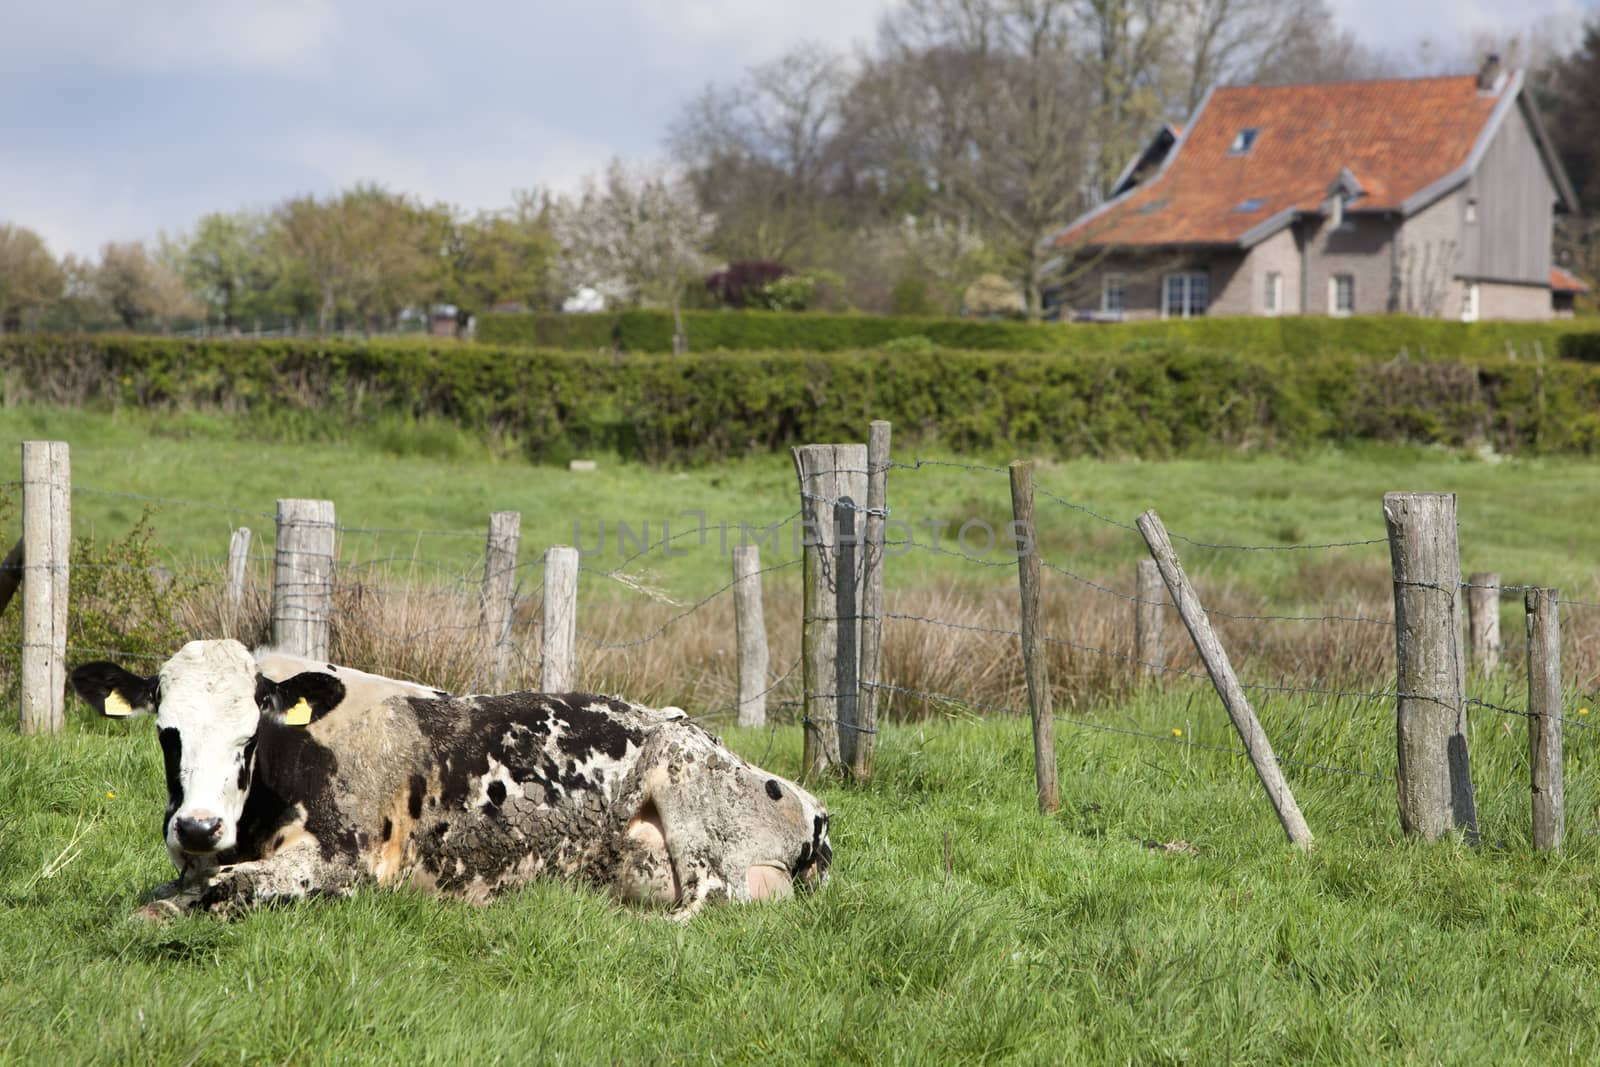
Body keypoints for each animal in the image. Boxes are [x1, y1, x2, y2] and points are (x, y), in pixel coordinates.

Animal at [68, 639, 832, 921]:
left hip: (686, 795)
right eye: (167, 731)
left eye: (249, 735)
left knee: (703, 906)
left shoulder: (345, 866)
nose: (198, 826)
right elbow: (165, 891)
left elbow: (225, 890)